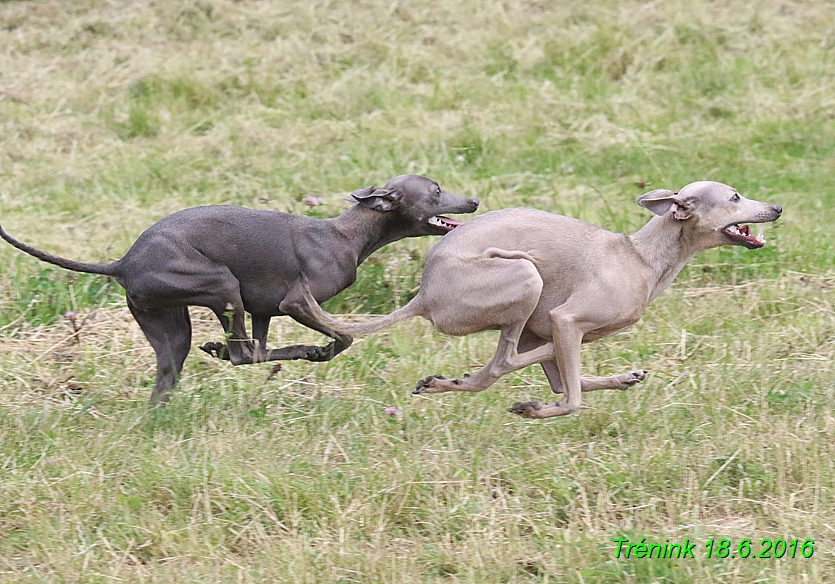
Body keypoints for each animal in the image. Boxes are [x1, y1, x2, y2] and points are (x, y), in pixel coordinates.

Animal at [0, 173, 476, 402]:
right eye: (436, 190)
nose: (473, 201)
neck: (346, 235)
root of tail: (124, 262)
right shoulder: (296, 301)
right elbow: (341, 339)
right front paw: (318, 350)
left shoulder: (264, 309)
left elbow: (265, 345)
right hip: (221, 285)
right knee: (241, 354)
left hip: (171, 329)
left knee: (209, 361)